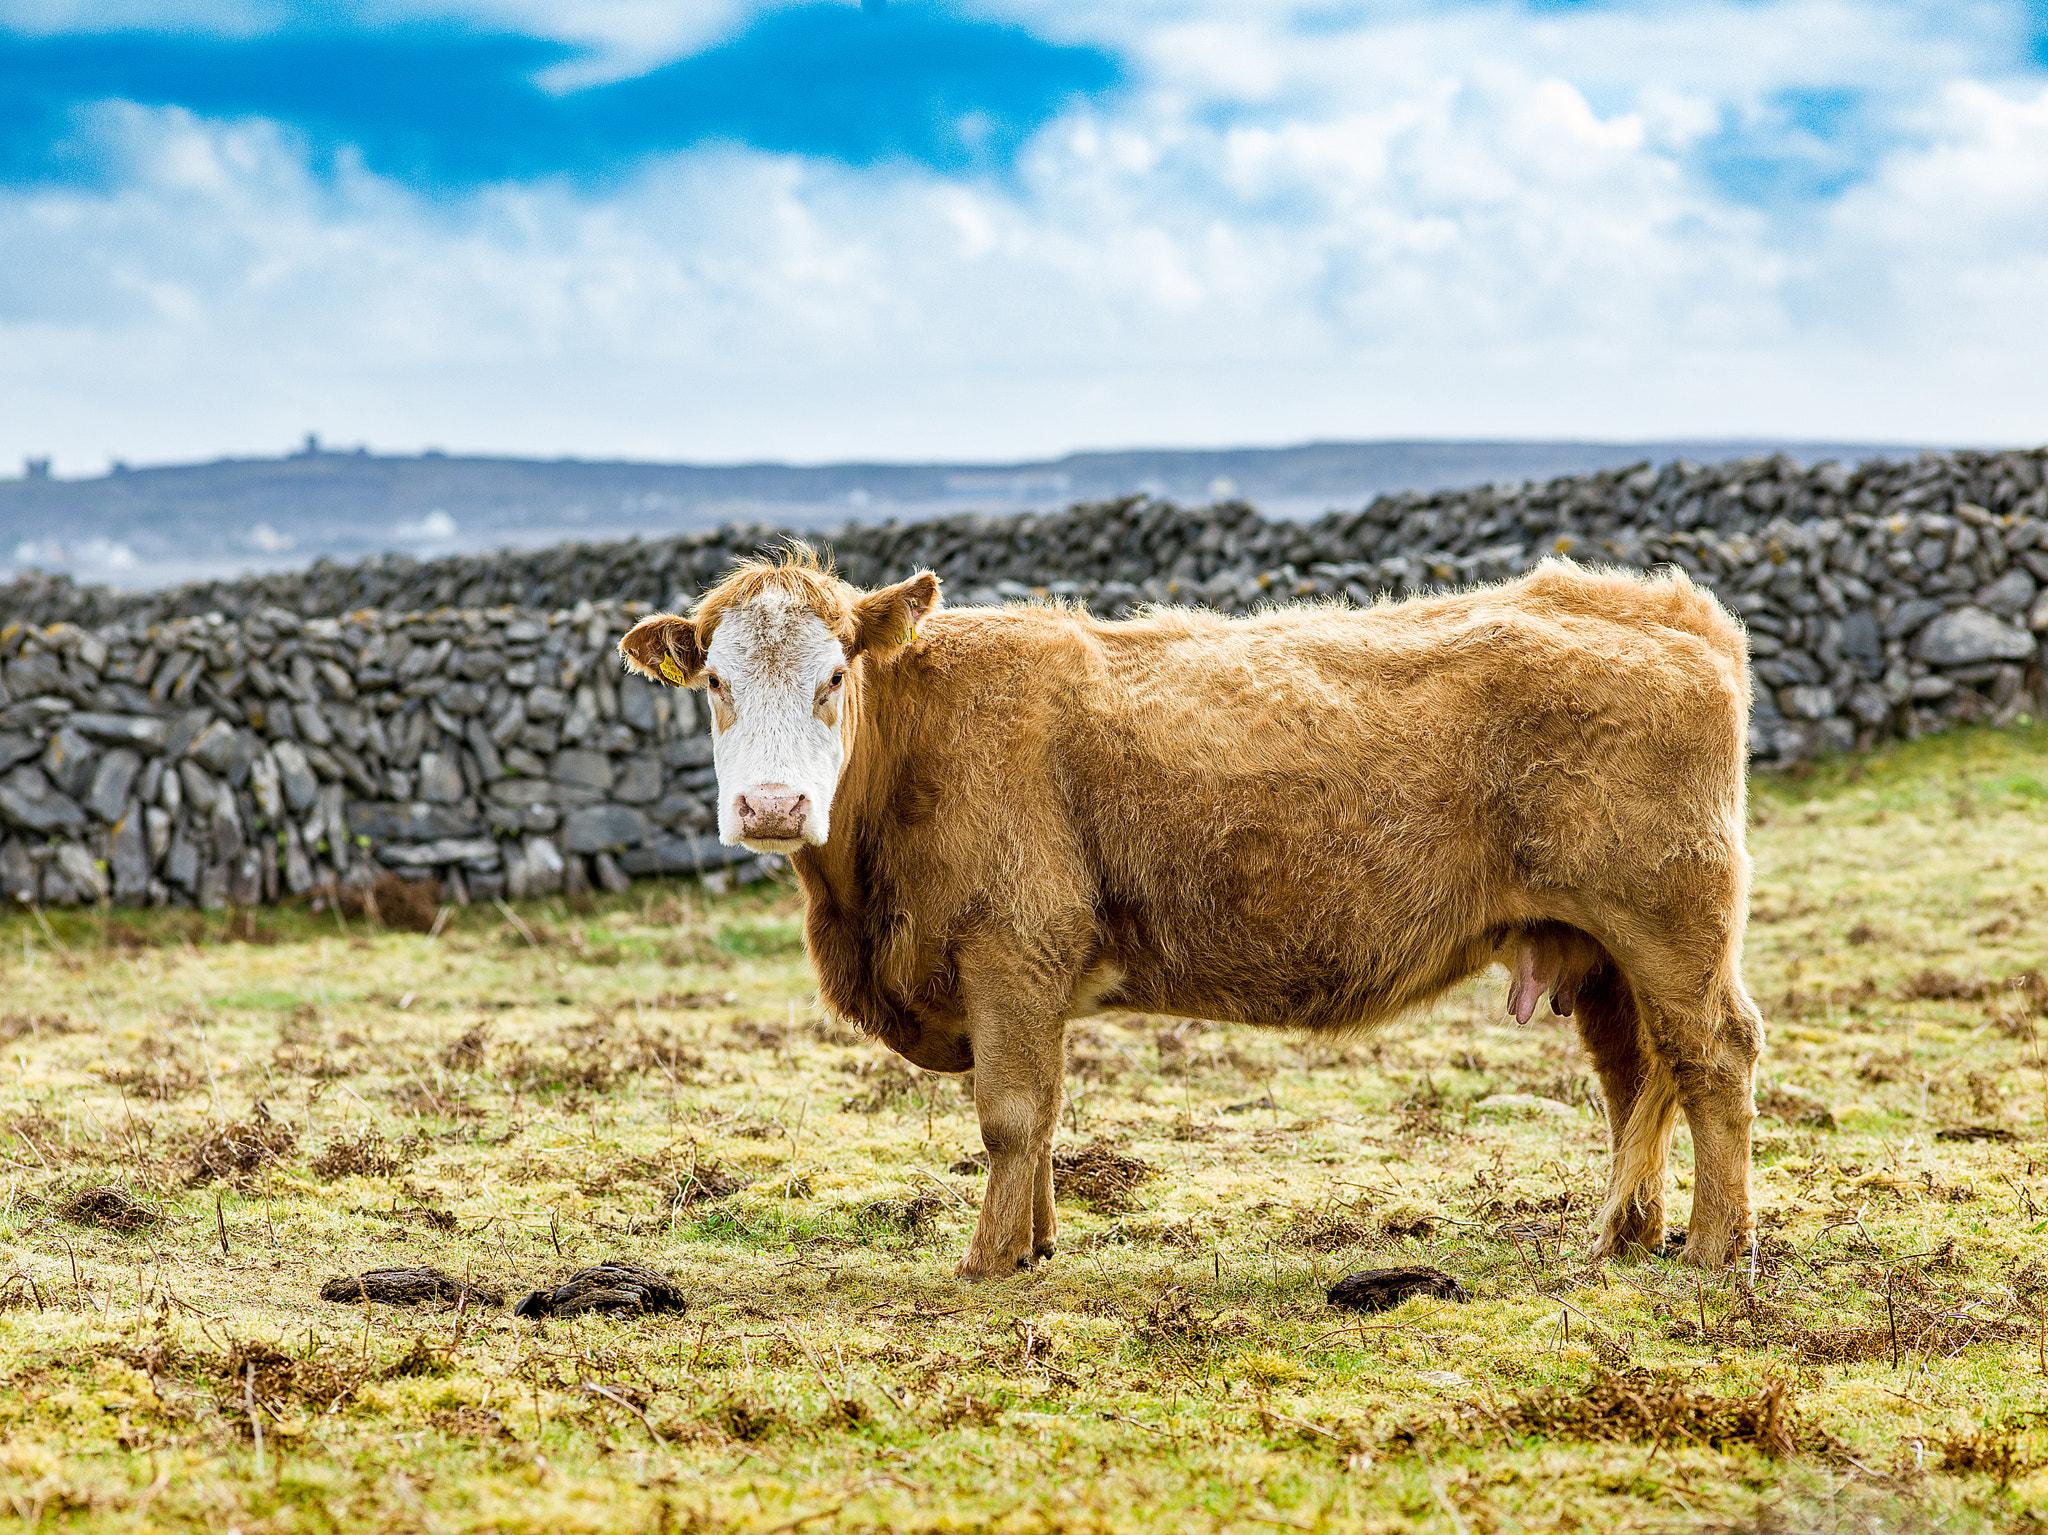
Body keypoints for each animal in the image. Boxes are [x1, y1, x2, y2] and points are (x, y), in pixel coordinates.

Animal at [618, 548, 1761, 1277]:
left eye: (833, 675)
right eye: (714, 682)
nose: (773, 805)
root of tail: (1663, 608)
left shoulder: (1010, 950)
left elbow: (1009, 1114)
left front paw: (987, 1258)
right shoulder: (1031, 982)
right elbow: (1047, 1112)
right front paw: (1034, 1242)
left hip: (1670, 925)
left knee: (1715, 1056)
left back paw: (1715, 1245)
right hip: (1600, 949)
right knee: (1634, 1076)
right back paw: (1625, 1232)